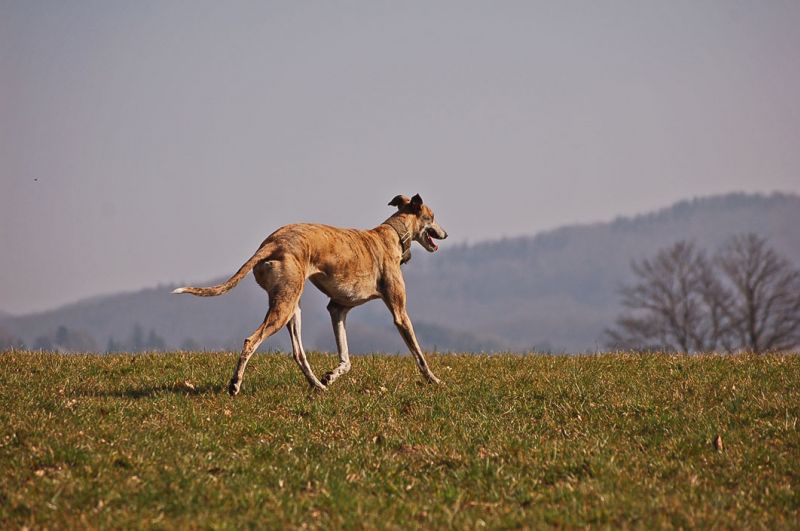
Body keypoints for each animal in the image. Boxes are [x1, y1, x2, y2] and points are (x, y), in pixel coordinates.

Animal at [173, 193, 446, 392]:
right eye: (432, 217)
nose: (445, 234)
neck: (393, 235)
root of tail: (272, 242)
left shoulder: (337, 309)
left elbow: (346, 359)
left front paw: (331, 376)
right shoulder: (399, 313)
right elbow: (419, 354)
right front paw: (435, 380)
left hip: (292, 307)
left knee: (298, 353)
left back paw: (317, 385)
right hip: (284, 307)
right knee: (251, 340)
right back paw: (235, 384)